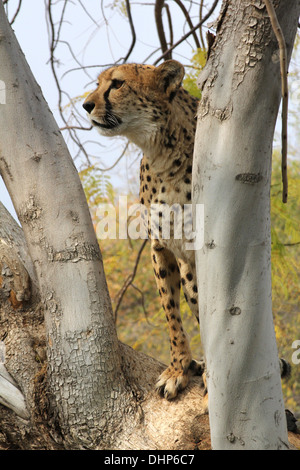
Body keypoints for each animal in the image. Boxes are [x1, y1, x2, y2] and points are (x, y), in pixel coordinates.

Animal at [82, 58, 204, 398]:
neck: (162, 151)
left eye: (117, 84)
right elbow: (170, 312)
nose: (86, 105)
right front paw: (179, 367)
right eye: (98, 84)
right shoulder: (161, 246)